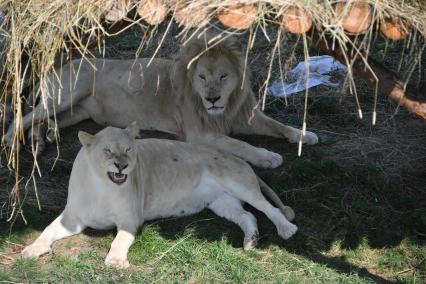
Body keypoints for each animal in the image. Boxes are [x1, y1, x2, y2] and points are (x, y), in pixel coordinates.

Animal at [2, 32, 316, 168]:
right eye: (202, 77)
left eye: (224, 76)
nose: (213, 99)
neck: (223, 108)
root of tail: (56, 66)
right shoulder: (200, 135)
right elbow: (241, 146)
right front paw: (269, 157)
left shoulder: (243, 116)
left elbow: (278, 125)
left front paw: (305, 135)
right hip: (66, 95)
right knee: (24, 118)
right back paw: (10, 141)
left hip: (76, 111)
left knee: (43, 121)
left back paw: (46, 137)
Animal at [21, 124, 298, 268]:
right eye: (108, 150)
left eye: (129, 149)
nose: (122, 166)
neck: (102, 186)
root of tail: (240, 159)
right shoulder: (73, 218)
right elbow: (47, 230)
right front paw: (31, 249)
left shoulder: (130, 219)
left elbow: (120, 240)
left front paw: (116, 261)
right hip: (222, 203)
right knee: (248, 216)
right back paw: (250, 242)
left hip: (239, 183)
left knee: (268, 208)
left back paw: (286, 229)